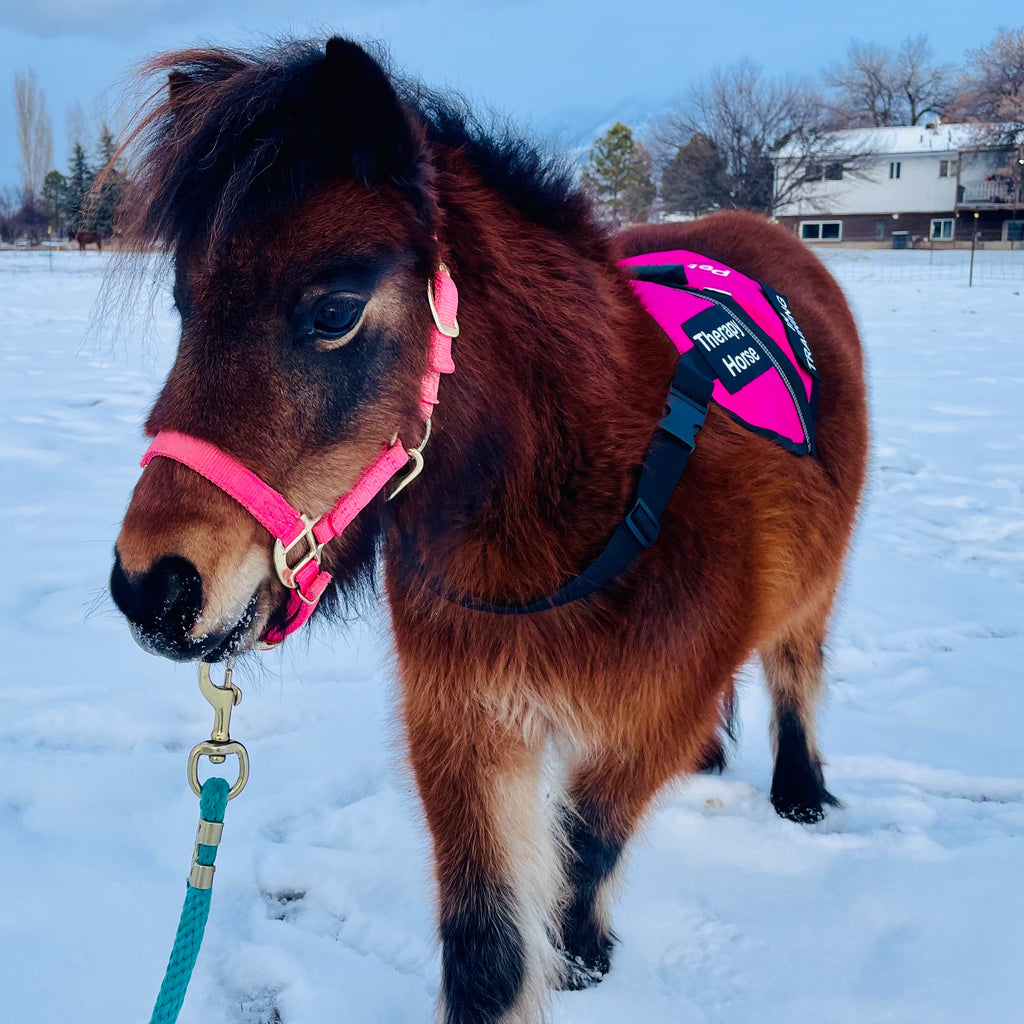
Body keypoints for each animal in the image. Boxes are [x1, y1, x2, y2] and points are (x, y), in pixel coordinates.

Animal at [110, 37, 864, 1024]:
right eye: (185, 307)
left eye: (334, 312)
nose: (151, 586)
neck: (578, 504)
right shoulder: (464, 725)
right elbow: (487, 950)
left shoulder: (644, 719)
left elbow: (589, 844)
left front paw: (581, 950)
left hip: (812, 589)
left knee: (793, 665)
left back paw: (800, 791)